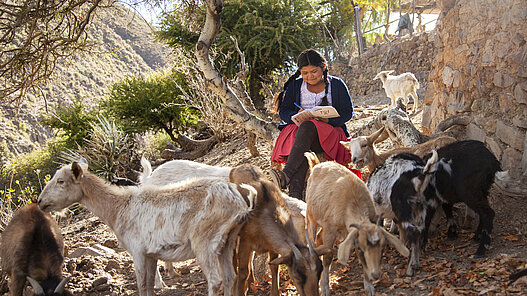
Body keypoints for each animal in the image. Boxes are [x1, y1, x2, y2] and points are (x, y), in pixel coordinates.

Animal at [37, 160, 256, 296]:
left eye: (61, 181)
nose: (39, 202)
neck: (117, 208)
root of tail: (238, 199)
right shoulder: (151, 254)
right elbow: (150, 284)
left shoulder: (138, 252)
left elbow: (142, 285)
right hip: (227, 241)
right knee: (230, 277)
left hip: (205, 242)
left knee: (216, 280)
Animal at [230, 164, 332, 296]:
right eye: (297, 277)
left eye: (319, 273)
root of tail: (239, 167)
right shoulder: (245, 241)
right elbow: (243, 272)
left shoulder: (272, 246)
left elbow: (274, 266)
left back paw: (252, 281)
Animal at [304, 153, 410, 296]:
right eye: (362, 248)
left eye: (382, 248)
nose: (375, 275)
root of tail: (317, 164)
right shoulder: (330, 230)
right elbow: (328, 256)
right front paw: (325, 287)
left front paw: (369, 286)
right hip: (311, 217)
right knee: (313, 239)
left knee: (319, 238)